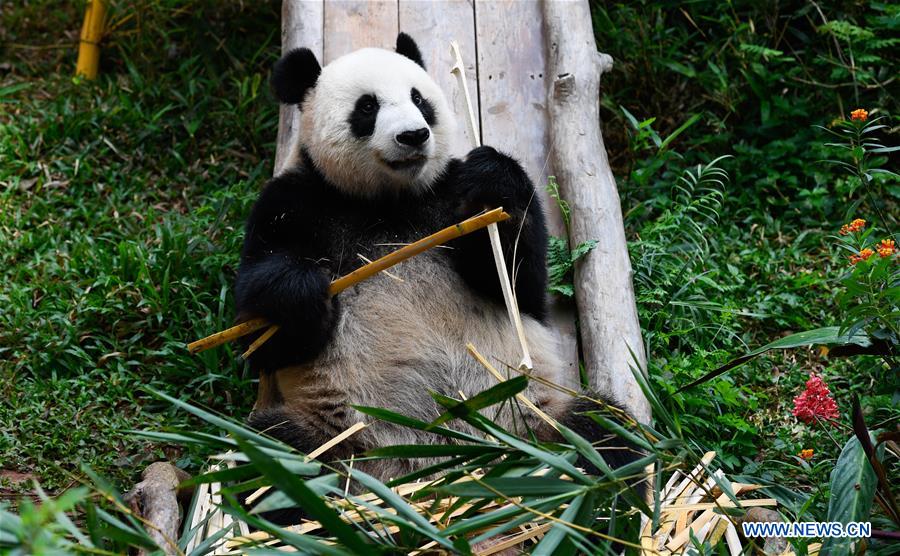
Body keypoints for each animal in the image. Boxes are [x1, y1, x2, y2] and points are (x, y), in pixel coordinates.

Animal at [236, 33, 643, 492]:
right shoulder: (292, 205)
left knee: (605, 434)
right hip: (335, 436)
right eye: (367, 107)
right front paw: (303, 293)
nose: (414, 135)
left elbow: (520, 285)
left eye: (419, 98)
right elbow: (263, 336)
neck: (390, 202)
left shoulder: (447, 193)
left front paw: (493, 178)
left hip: (536, 416)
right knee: (267, 460)